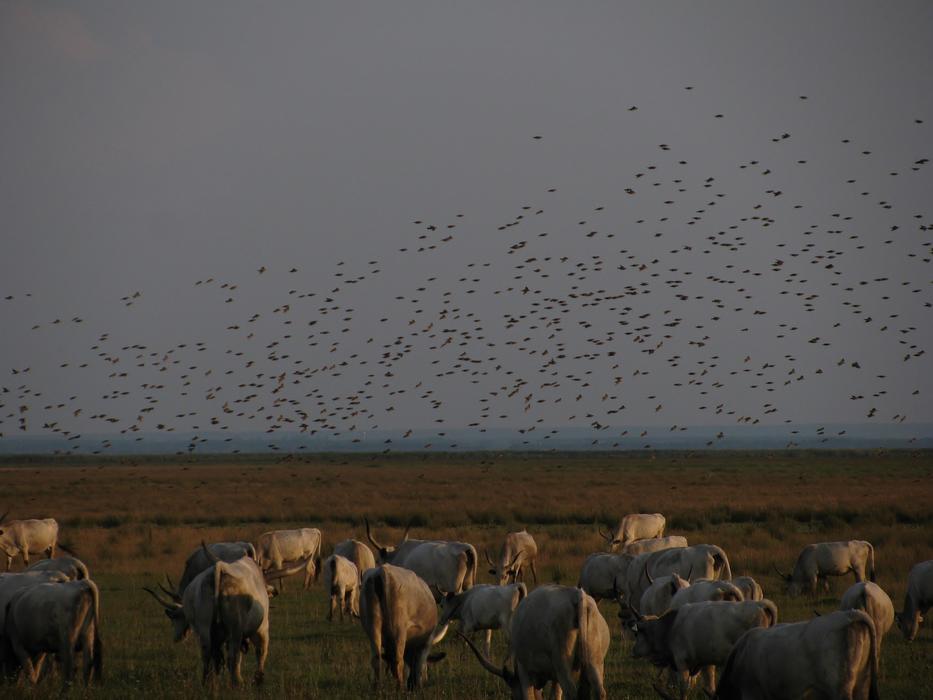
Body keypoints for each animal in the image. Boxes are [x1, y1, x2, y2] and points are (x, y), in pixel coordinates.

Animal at [144, 544, 281, 686]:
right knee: (234, 655)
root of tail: (219, 568)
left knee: (207, 653)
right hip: (235, 629)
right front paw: (258, 681)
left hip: (205, 627)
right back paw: (237, 682)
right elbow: (261, 651)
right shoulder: (262, 628)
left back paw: (207, 681)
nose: (177, 638)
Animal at [460, 584, 610, 700]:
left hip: (562, 663)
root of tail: (576, 595)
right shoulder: (555, 678)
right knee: (599, 692)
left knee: (571, 692)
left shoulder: (524, 671)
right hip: (595, 662)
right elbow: (555, 695)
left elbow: (530, 696)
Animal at [630, 599, 777, 699]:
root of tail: (761, 605)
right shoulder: (702, 663)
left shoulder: (682, 662)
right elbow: (707, 686)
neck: (669, 628)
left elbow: (684, 688)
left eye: (637, 634)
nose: (633, 651)